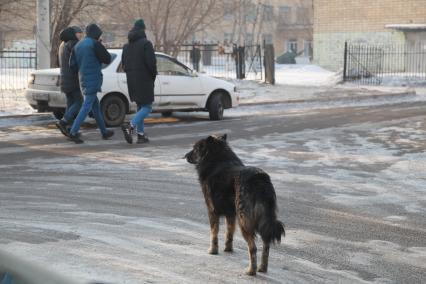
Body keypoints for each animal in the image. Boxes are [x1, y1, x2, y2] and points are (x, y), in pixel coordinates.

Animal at [185, 134, 284, 276]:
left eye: (195, 149)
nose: (185, 156)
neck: (218, 160)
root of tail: (260, 178)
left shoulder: (212, 211)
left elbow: (214, 233)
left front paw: (213, 250)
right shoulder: (231, 214)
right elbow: (229, 232)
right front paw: (228, 249)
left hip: (244, 221)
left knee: (253, 248)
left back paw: (251, 270)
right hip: (263, 220)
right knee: (266, 244)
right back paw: (262, 268)